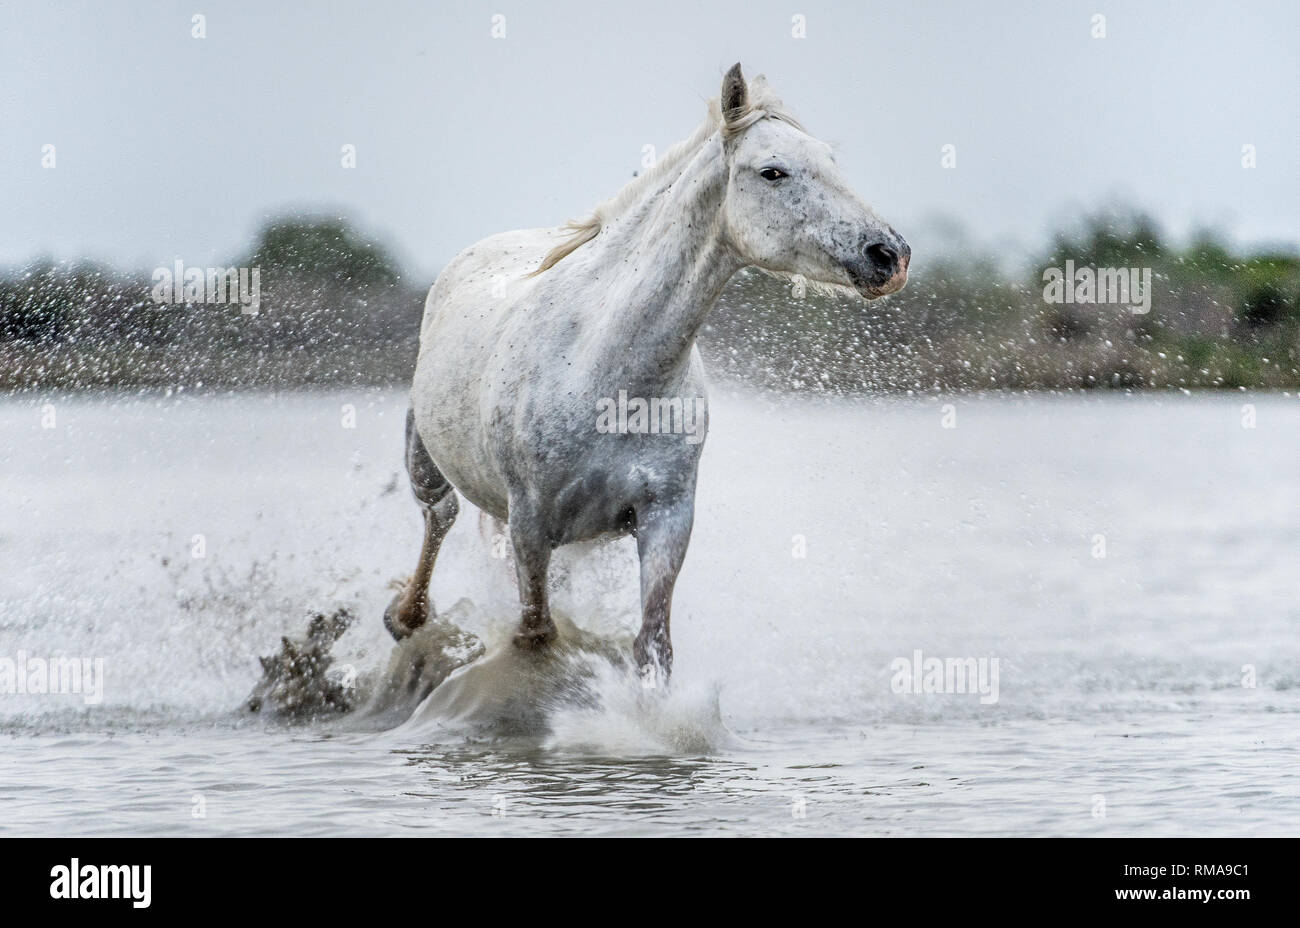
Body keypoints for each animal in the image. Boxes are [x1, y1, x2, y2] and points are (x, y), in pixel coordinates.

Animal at [383, 63, 909, 682]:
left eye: (831, 162)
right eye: (772, 171)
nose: (889, 256)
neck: (605, 370)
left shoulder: (666, 518)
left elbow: (653, 646)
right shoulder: (530, 523)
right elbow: (536, 633)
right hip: (426, 460)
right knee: (438, 517)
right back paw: (406, 616)